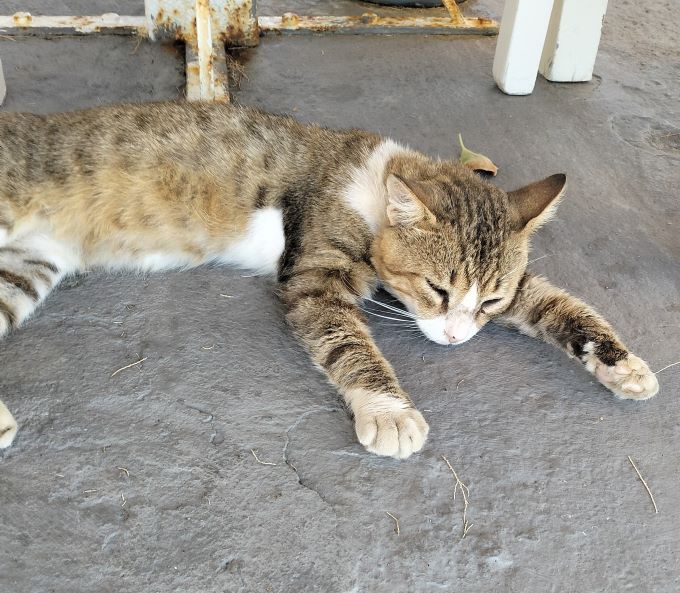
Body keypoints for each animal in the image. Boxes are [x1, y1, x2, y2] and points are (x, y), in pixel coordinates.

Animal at [0, 101, 659, 457]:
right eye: (437, 290)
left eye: (490, 300)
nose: (454, 337)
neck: (374, 182)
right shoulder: (315, 276)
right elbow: (348, 341)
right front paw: (390, 411)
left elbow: (556, 303)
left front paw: (620, 362)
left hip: (26, 266)